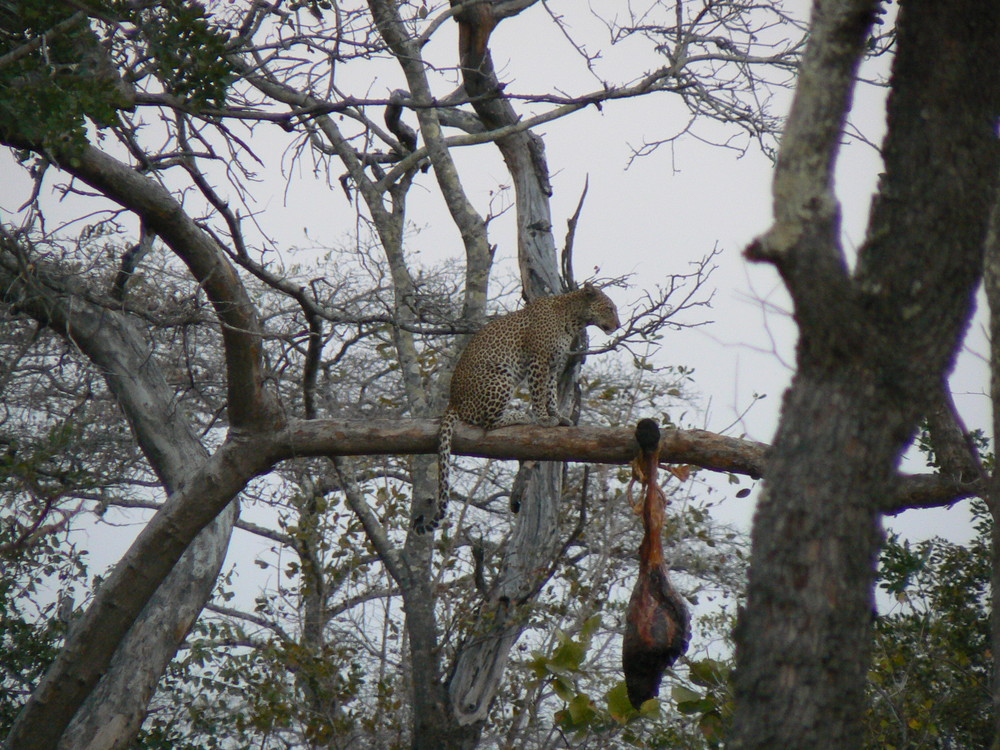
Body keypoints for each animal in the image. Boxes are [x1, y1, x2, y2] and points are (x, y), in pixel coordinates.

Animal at [412, 282, 616, 536]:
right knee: (487, 422)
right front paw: (543, 419)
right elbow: (539, 394)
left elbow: (551, 393)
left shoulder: (553, 364)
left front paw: (558, 417)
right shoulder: (538, 360)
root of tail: (453, 401)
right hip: (501, 376)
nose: (618, 325)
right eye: (609, 308)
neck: (574, 318)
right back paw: (520, 415)